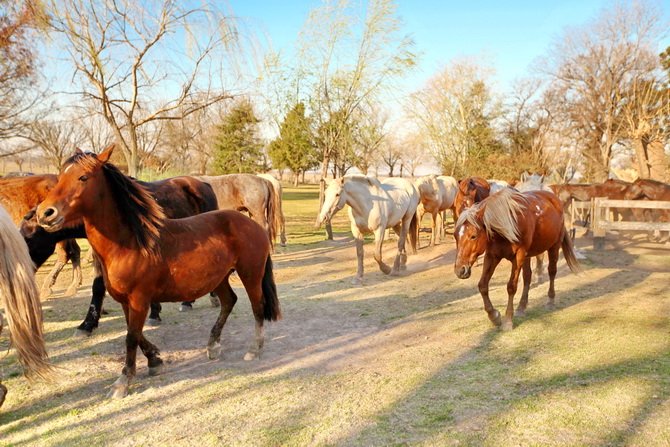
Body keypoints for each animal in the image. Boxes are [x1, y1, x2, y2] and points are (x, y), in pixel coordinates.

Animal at [19, 175, 219, 336]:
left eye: (28, 239)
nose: (23, 272)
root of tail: (203, 183)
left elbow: (99, 286)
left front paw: (86, 325)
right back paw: (188, 302)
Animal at [454, 187, 584, 330]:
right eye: (455, 235)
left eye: (473, 236)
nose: (460, 270)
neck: (506, 226)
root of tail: (554, 199)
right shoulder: (492, 256)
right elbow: (482, 285)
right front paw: (494, 316)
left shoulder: (518, 256)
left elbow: (511, 286)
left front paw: (507, 321)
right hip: (528, 255)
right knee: (527, 277)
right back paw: (521, 308)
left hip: (554, 246)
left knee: (552, 271)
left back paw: (550, 302)